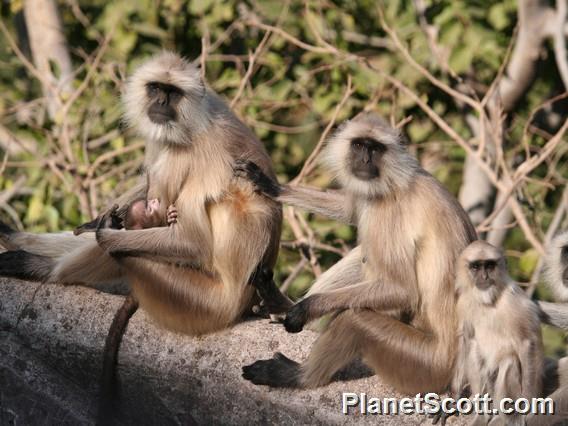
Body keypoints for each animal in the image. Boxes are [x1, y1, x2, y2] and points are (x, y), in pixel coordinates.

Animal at [0, 51, 292, 418]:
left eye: (172, 92)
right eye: (155, 88)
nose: (161, 102)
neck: (193, 121)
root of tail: (242, 301)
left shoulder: (198, 153)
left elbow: (189, 241)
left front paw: (106, 233)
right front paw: (94, 222)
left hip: (199, 300)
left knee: (128, 251)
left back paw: (40, 267)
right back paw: (20, 240)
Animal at [237, 112, 478, 392]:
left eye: (375, 149)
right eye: (360, 145)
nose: (365, 160)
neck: (396, 180)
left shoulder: (387, 212)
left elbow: (402, 290)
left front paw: (305, 309)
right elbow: (350, 208)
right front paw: (269, 185)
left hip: (423, 365)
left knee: (356, 317)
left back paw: (298, 376)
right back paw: (281, 305)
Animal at [450, 241, 544, 426]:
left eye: (489, 266)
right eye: (476, 267)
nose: (484, 277)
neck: (488, 301)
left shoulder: (512, 300)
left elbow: (526, 342)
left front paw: (527, 406)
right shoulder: (463, 302)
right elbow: (466, 339)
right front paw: (455, 398)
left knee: (509, 361)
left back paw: (506, 417)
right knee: (473, 349)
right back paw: (482, 415)